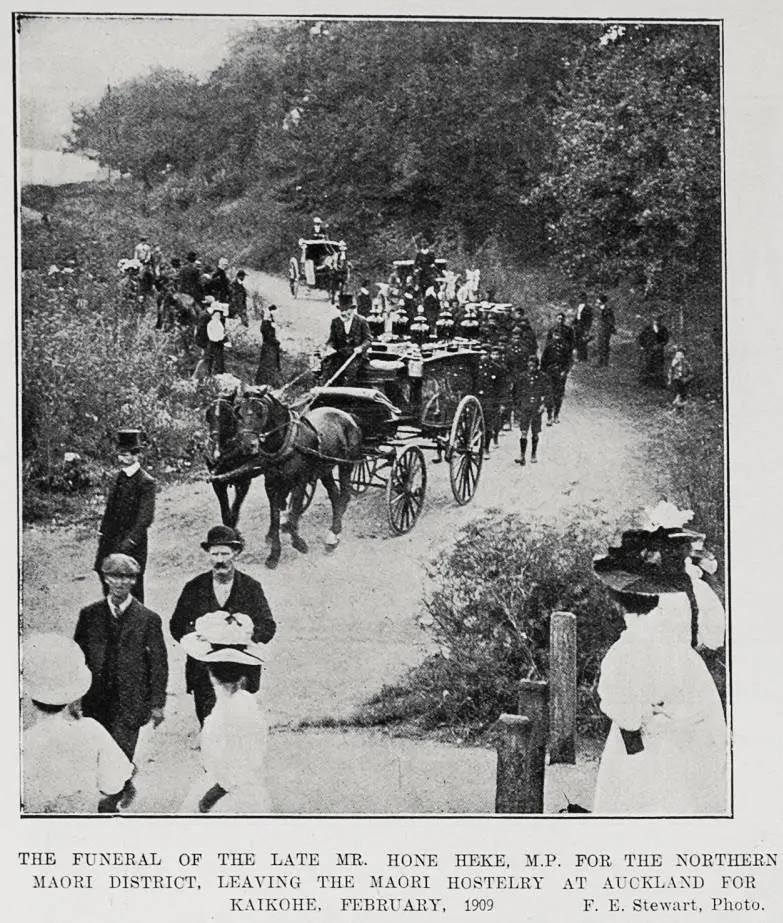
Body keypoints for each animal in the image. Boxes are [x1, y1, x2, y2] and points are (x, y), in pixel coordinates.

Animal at [210, 384, 366, 572]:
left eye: (260, 412)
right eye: (239, 412)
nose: (248, 445)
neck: (285, 442)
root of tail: (348, 415)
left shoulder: (300, 482)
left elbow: (294, 510)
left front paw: (298, 542)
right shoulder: (271, 484)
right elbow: (275, 515)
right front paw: (274, 554)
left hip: (346, 465)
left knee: (344, 494)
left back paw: (334, 533)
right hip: (324, 469)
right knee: (334, 494)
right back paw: (332, 533)